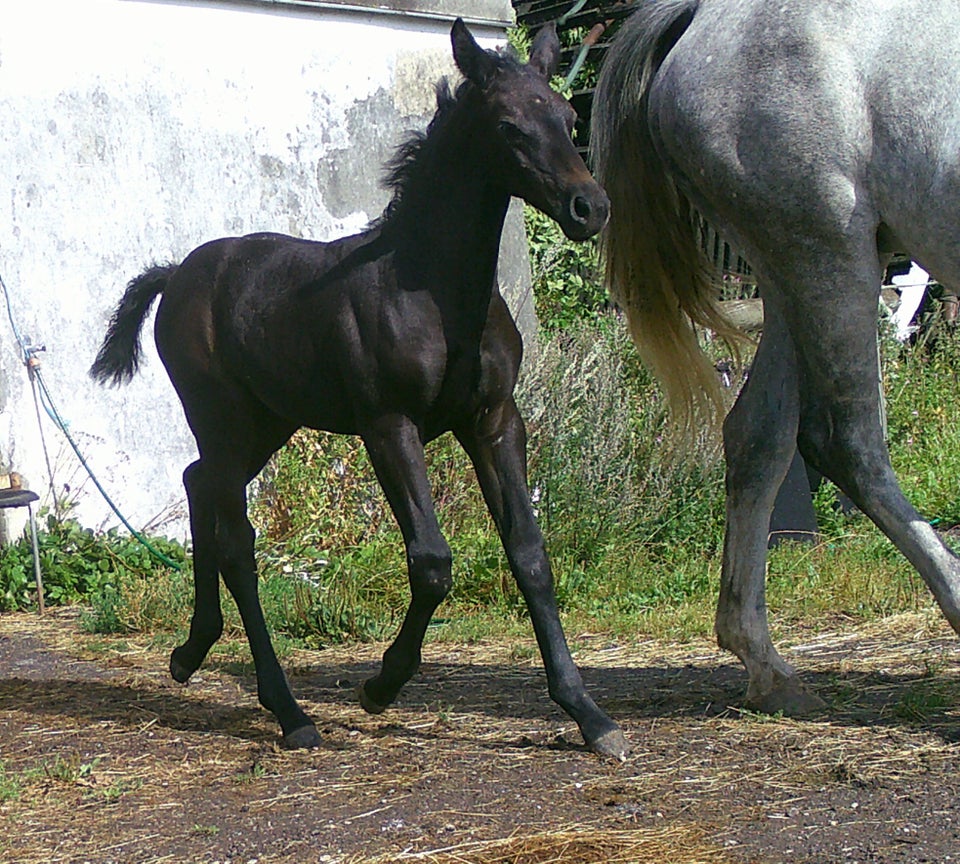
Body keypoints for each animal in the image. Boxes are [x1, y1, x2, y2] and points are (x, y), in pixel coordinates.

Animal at [588, 0, 960, 716]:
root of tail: (703, 18)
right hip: (828, 254)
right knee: (844, 440)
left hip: (794, 273)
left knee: (757, 436)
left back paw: (763, 662)